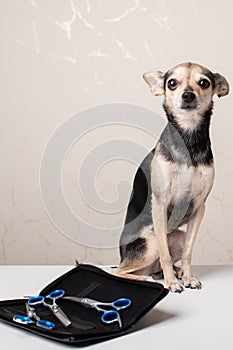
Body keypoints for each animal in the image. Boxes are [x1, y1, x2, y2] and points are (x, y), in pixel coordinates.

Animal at [114, 62, 229, 292]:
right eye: (172, 83)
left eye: (204, 82)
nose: (188, 95)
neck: (188, 139)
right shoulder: (160, 203)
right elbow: (165, 254)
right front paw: (172, 283)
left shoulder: (199, 207)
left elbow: (188, 252)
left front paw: (188, 277)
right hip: (148, 242)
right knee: (116, 271)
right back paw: (149, 279)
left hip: (178, 237)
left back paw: (171, 273)